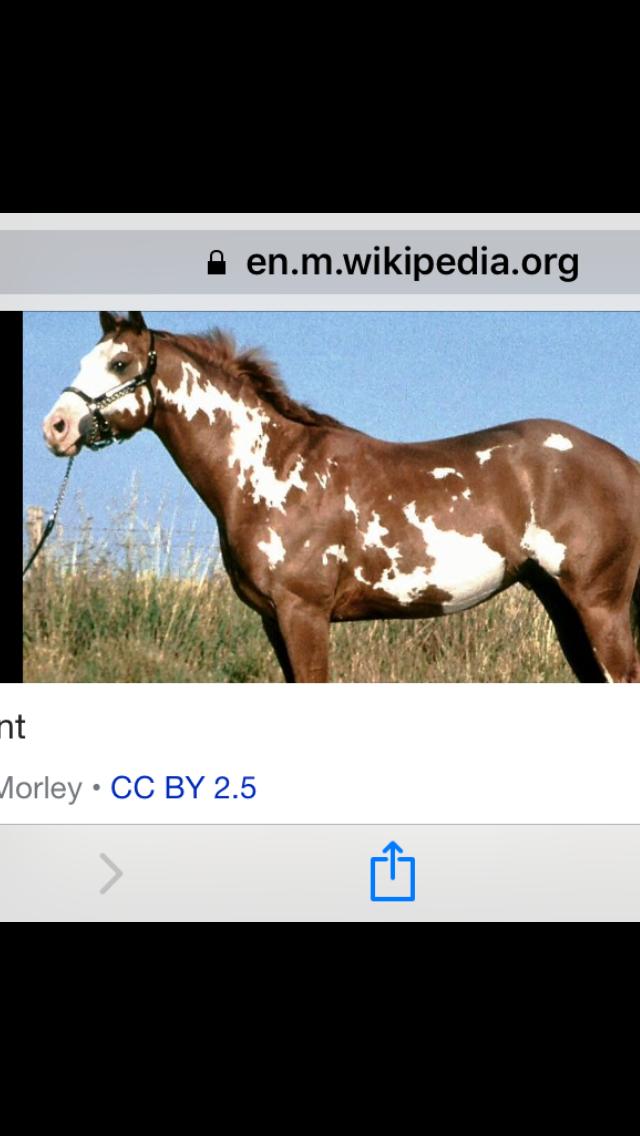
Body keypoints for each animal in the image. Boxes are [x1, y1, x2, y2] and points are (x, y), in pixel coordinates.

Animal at [42, 311, 640, 683]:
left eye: (120, 364)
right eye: (84, 361)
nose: (57, 427)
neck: (270, 468)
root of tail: (622, 463)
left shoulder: (303, 614)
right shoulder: (274, 620)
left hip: (599, 606)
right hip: (563, 608)